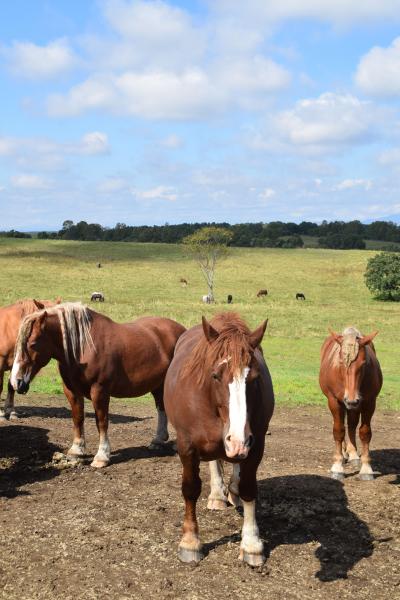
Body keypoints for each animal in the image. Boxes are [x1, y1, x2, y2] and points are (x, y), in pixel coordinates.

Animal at [10, 302, 186, 466]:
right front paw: (77, 450)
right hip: (158, 385)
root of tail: (182, 330)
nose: (16, 381)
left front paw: (102, 456)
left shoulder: (99, 390)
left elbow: (101, 421)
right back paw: (158, 440)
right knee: (161, 407)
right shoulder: (71, 390)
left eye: (32, 343)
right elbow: (78, 418)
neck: (83, 348)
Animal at [163, 314, 276, 568]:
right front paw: (190, 542)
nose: (238, 440)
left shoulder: (255, 445)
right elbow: (190, 489)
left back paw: (232, 491)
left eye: (254, 378)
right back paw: (217, 495)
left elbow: (248, 488)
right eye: (215, 375)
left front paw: (252, 545)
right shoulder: (187, 447)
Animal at [318, 326, 382, 480]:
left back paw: (353, 454)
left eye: (363, 363)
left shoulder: (369, 402)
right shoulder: (334, 401)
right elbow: (338, 430)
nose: (351, 400)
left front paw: (366, 469)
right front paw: (337, 467)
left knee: (352, 425)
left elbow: (365, 432)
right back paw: (344, 454)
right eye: (341, 362)